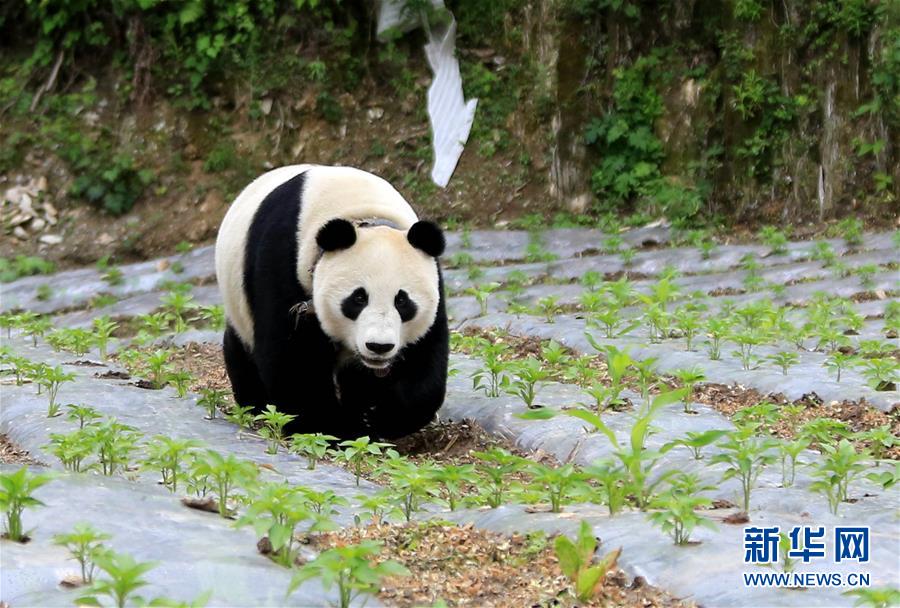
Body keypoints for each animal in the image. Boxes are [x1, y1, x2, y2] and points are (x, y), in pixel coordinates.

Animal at [214, 164, 446, 440]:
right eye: (358, 298)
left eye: (402, 301)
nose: (379, 346)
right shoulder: (283, 260)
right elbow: (293, 359)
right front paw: (332, 430)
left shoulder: (432, 276)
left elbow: (425, 359)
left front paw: (380, 416)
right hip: (238, 301)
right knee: (241, 348)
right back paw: (255, 406)